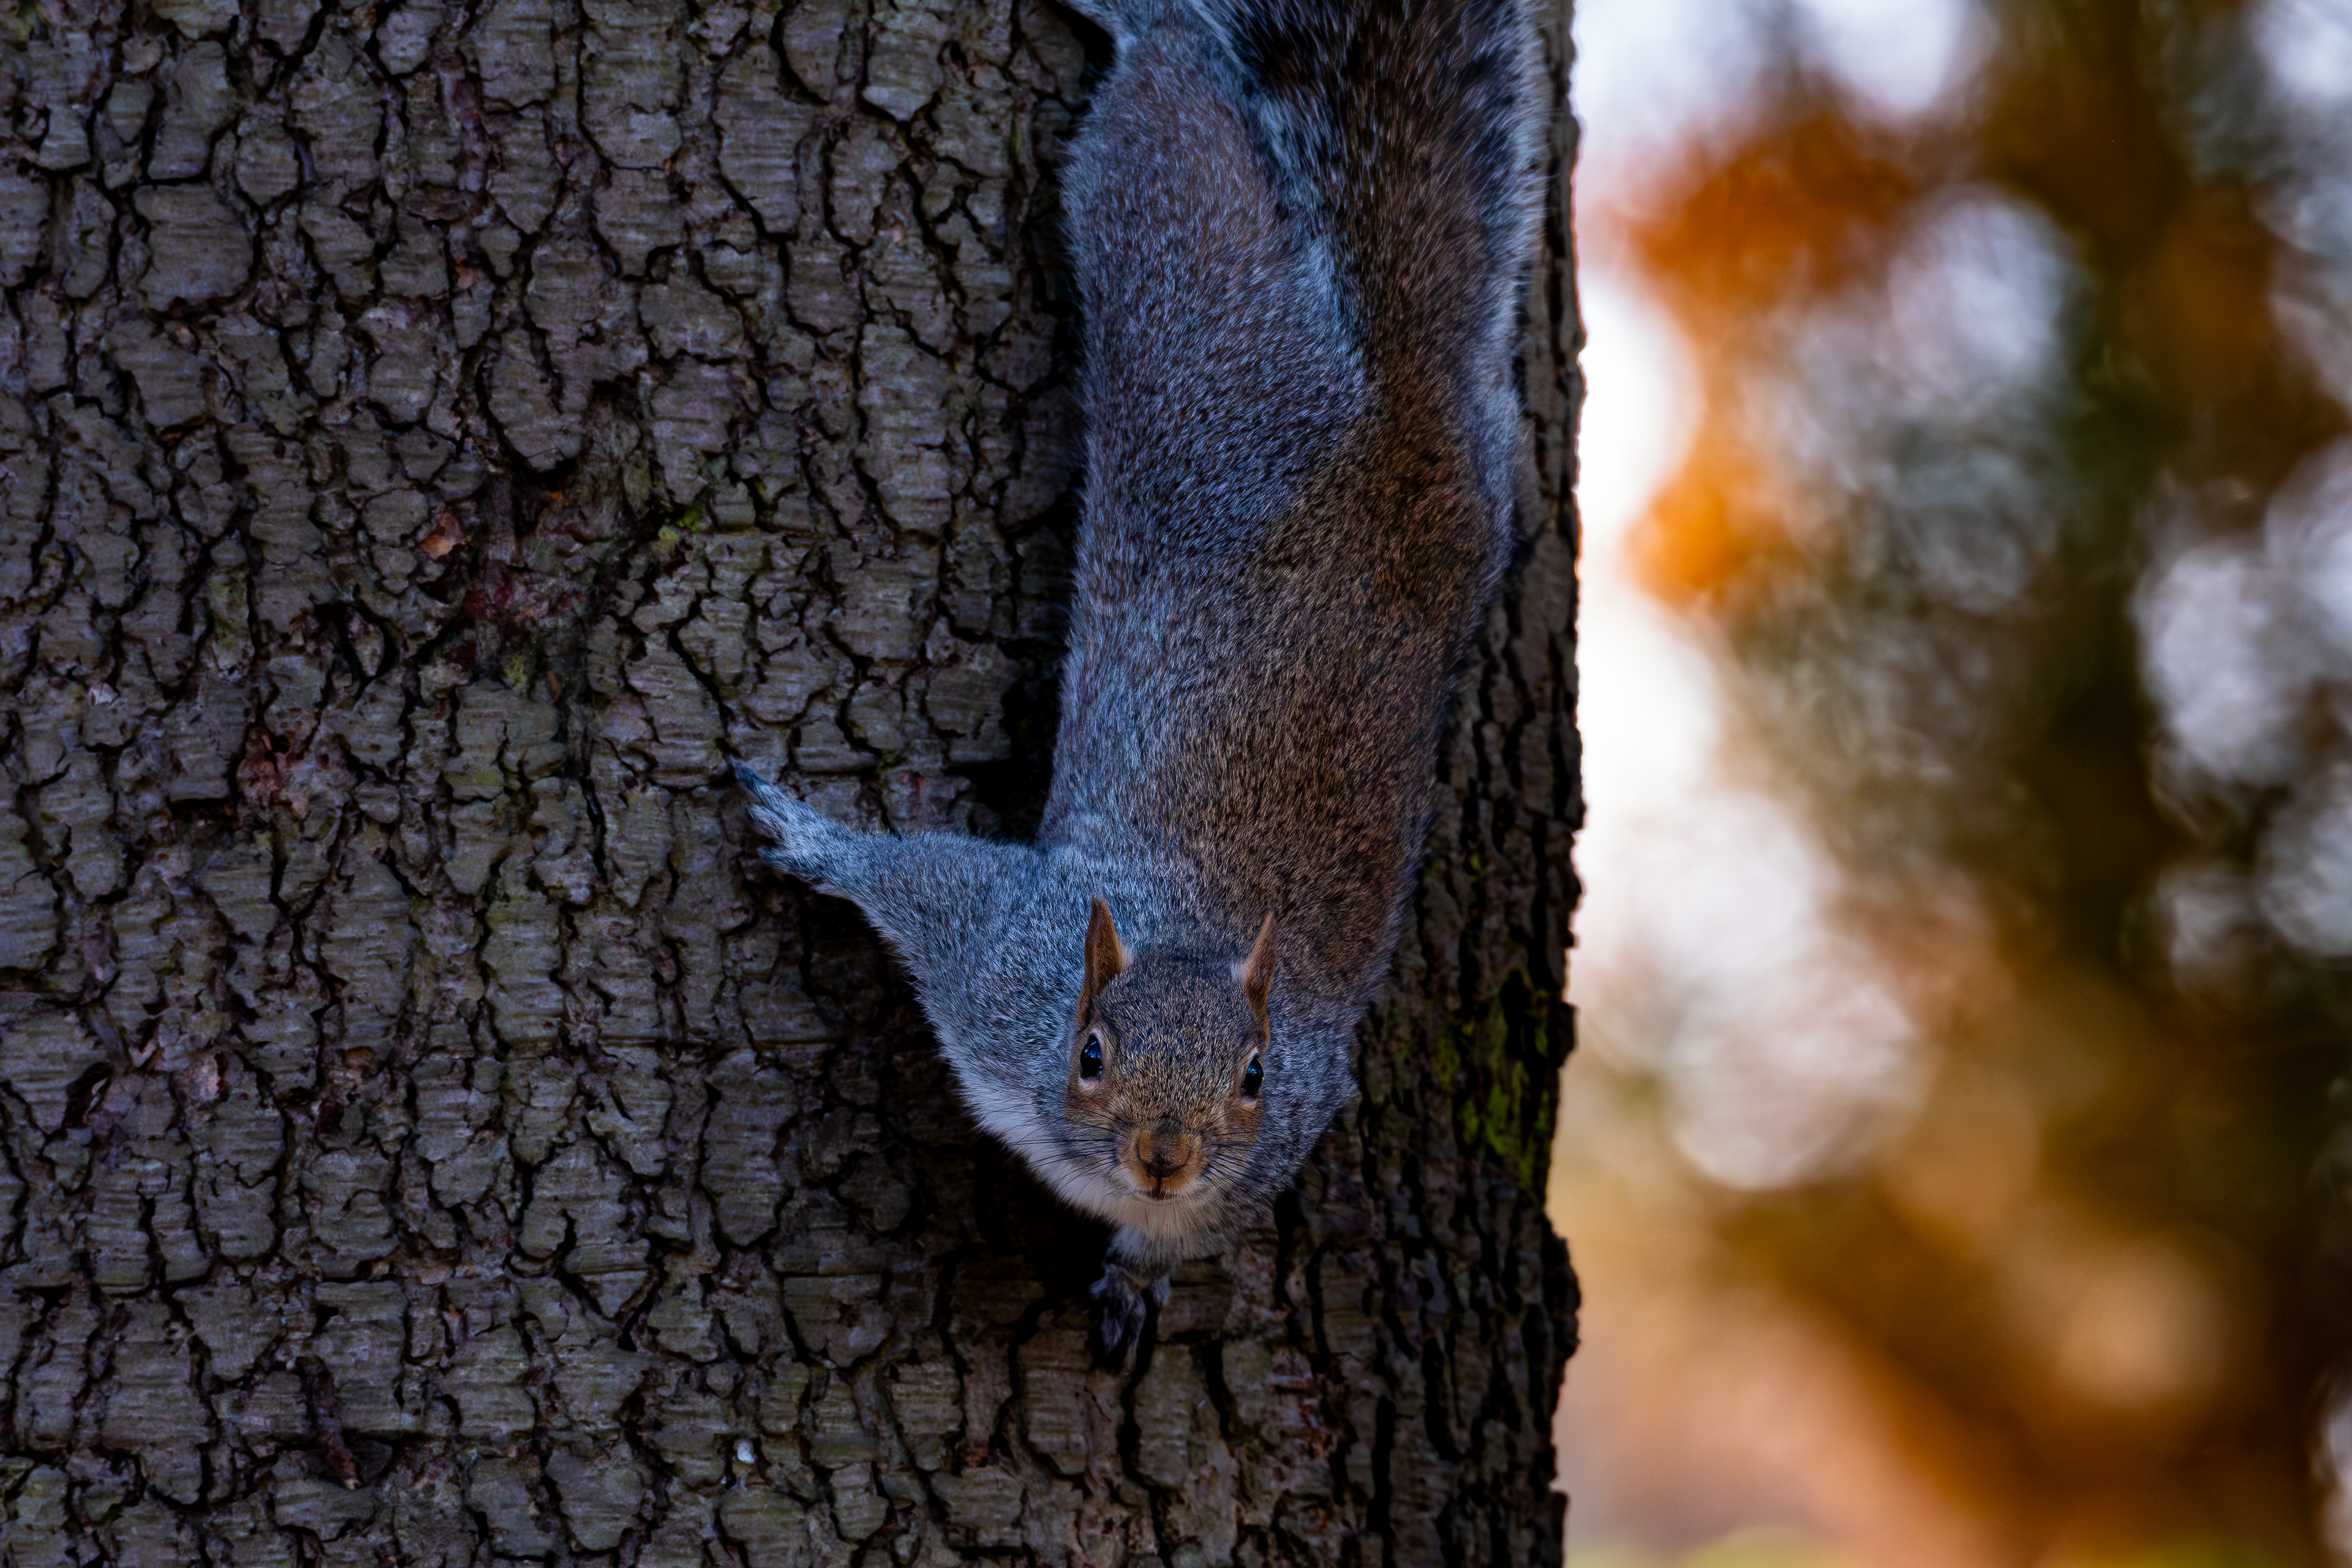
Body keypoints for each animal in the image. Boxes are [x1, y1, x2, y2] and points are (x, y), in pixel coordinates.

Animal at [738, 0, 1542, 1359]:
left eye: (1254, 1077)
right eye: (1093, 1052)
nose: (1166, 1158)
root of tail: (1400, 399)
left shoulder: (1290, 1134)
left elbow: (1202, 1234)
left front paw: (1136, 1280)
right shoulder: (998, 952)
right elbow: (917, 875)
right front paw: (817, 838)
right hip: (1177, 289)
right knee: (1168, 107)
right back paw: (1140, 19)